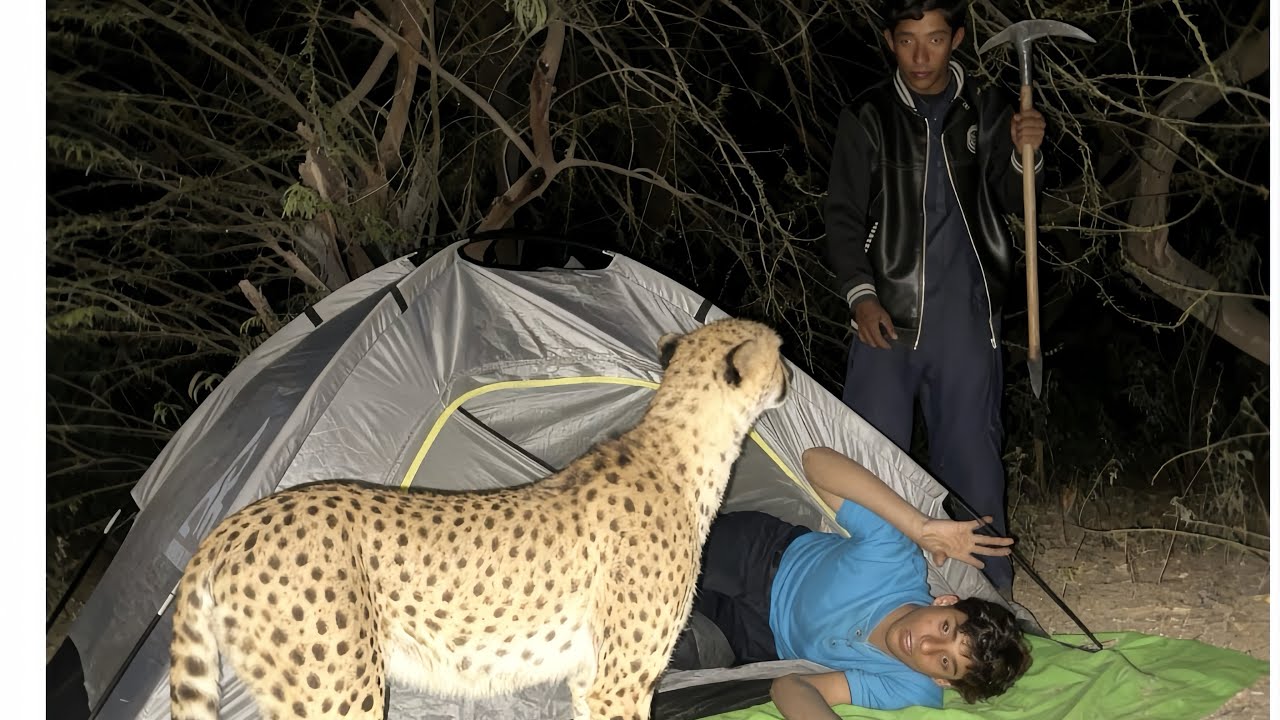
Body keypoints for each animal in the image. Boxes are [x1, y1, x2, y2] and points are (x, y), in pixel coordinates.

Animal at [168, 317, 791, 720]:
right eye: (780, 350)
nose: (790, 374)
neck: (678, 453)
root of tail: (231, 526)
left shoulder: (589, 677)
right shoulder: (622, 682)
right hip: (339, 693)